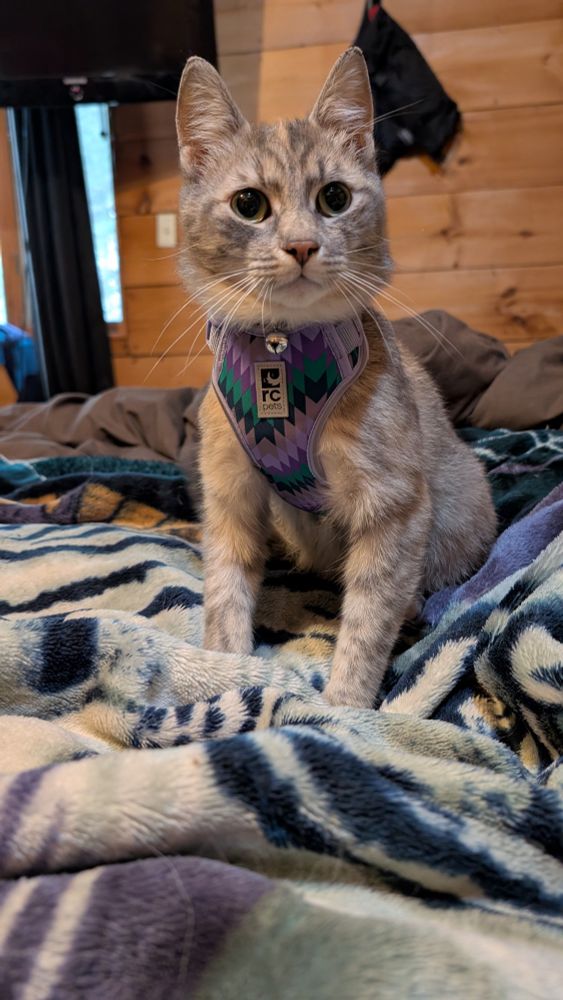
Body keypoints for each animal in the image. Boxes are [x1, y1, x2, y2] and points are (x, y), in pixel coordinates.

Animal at [175, 47, 496, 708]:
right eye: (249, 204)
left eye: (335, 197)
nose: (301, 246)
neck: (283, 352)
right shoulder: (229, 499)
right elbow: (224, 595)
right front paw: (225, 673)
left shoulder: (395, 507)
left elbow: (368, 619)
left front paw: (345, 709)